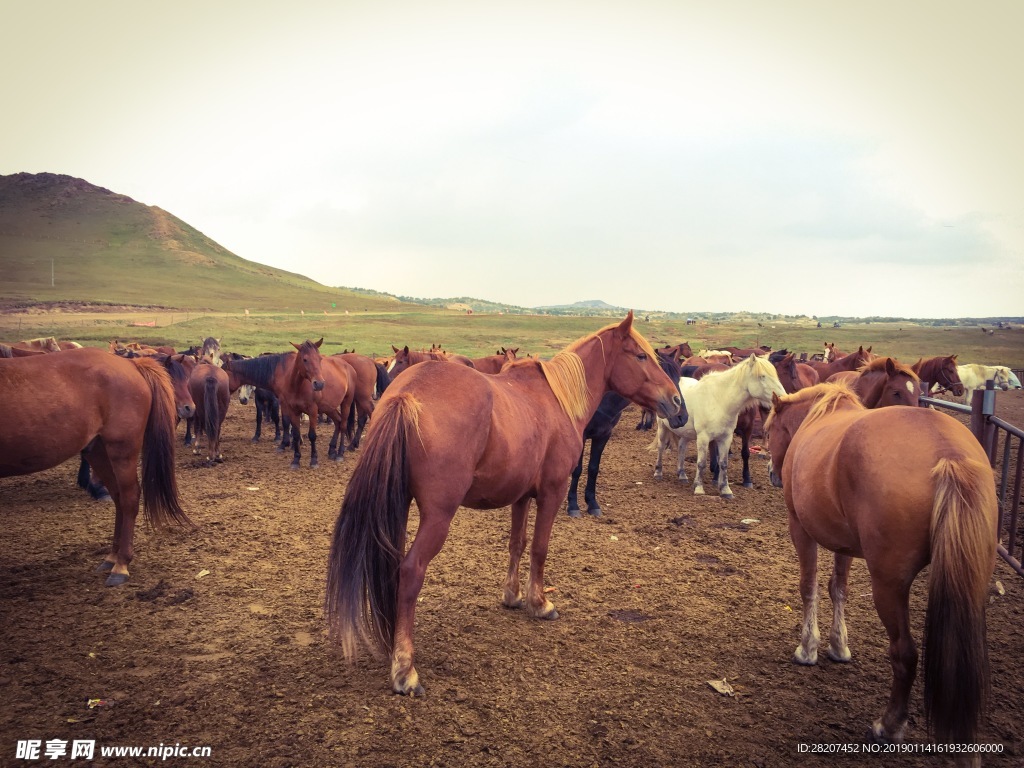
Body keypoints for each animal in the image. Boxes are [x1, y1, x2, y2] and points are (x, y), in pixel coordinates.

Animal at [0, 346, 191, 585]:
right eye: (174, 380)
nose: (190, 408)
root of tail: (131, 366)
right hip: (98, 450)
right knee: (118, 496)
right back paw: (113, 557)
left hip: (121, 449)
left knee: (129, 497)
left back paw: (121, 565)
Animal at [569, 352, 688, 520]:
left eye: (678, 378)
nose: (681, 416)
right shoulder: (582, 436)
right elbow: (577, 469)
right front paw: (573, 505)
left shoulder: (603, 435)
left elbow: (593, 468)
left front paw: (592, 504)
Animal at [651, 354, 786, 499]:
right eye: (762, 376)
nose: (782, 397)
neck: (719, 401)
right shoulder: (703, 438)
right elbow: (701, 463)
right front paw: (698, 488)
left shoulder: (726, 438)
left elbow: (723, 463)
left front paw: (725, 490)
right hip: (662, 427)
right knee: (661, 447)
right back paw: (658, 473)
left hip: (685, 432)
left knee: (682, 447)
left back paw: (682, 475)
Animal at [765, 382, 995, 753]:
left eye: (769, 430)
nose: (772, 473)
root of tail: (949, 453)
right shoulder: (843, 542)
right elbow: (838, 588)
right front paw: (838, 646)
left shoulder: (800, 528)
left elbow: (809, 586)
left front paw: (808, 648)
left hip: (888, 585)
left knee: (904, 654)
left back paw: (889, 725)